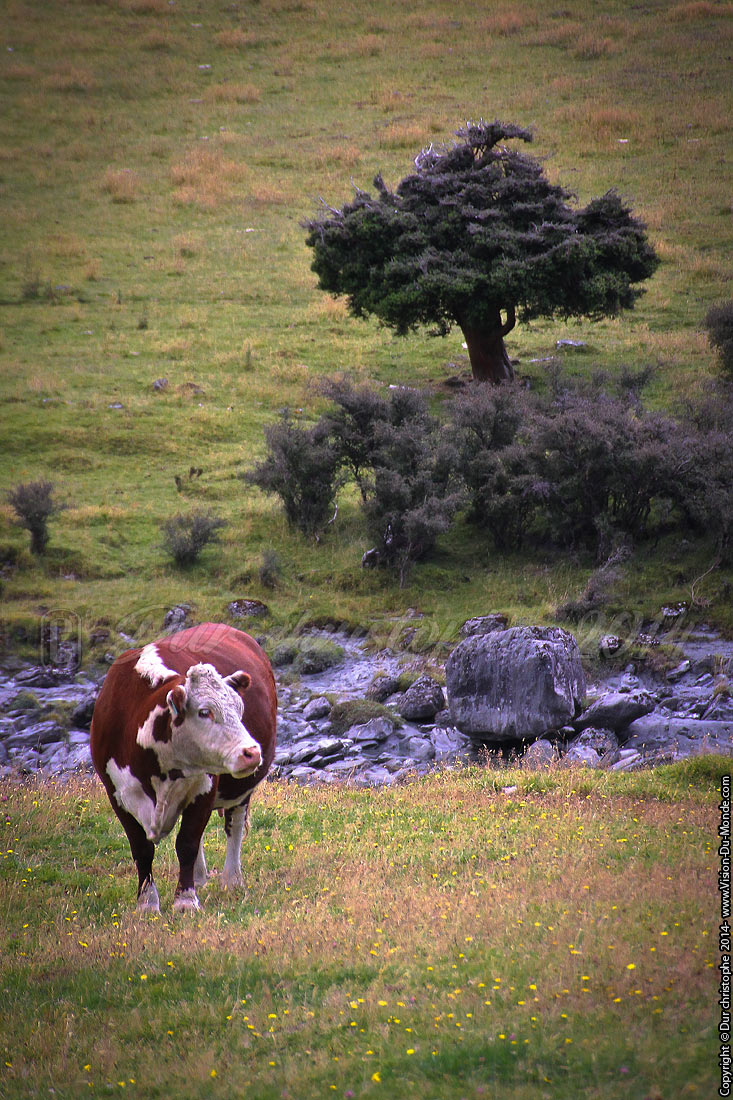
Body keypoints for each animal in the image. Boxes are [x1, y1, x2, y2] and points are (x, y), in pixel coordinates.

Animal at [90, 622, 277, 913]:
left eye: (239, 708)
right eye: (204, 711)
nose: (252, 752)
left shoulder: (205, 788)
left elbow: (186, 843)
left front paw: (185, 900)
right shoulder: (116, 795)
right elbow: (141, 849)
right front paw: (147, 903)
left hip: (239, 791)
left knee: (233, 825)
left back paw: (231, 880)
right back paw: (199, 877)